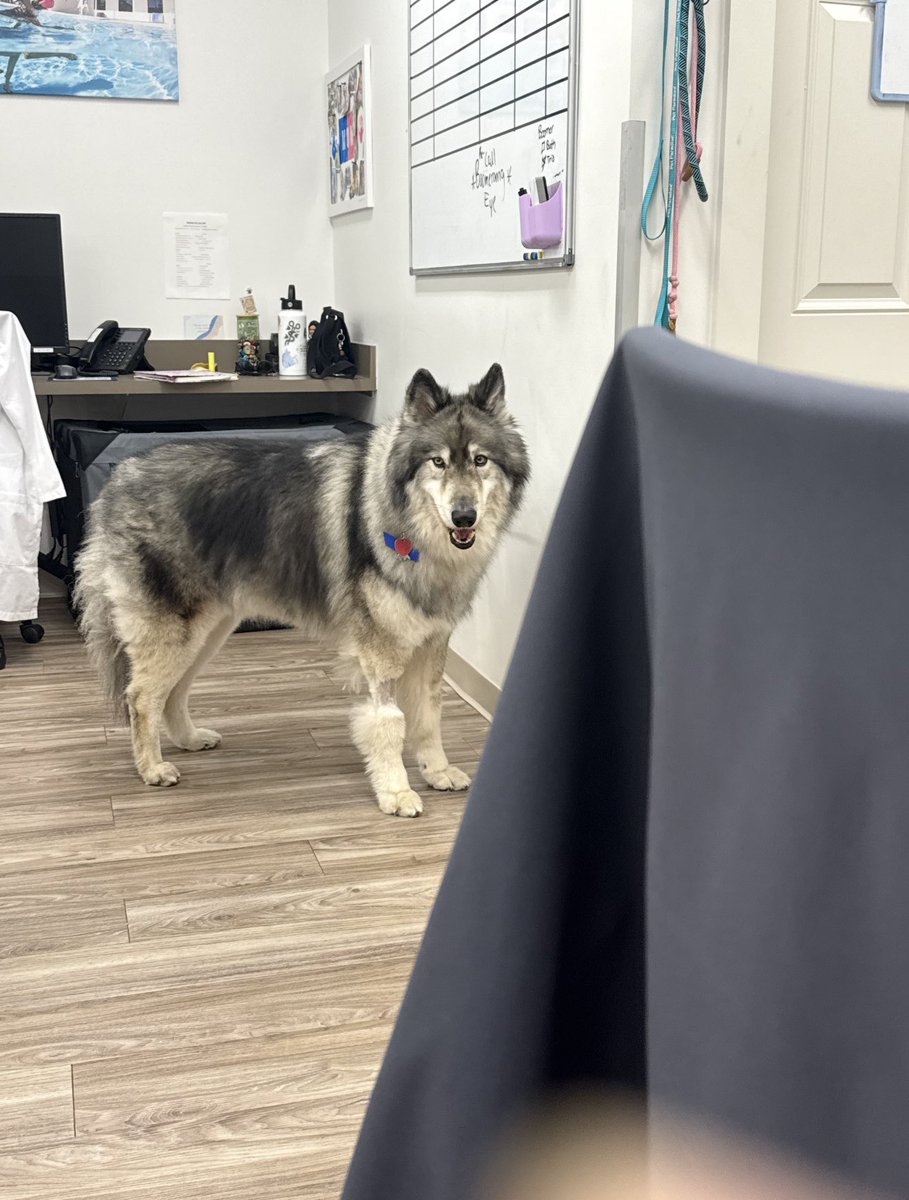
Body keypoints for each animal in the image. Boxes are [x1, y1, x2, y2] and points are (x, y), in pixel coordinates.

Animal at [74, 364, 529, 816]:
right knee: (141, 697)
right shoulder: (381, 653)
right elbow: (389, 722)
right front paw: (396, 792)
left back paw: (189, 739)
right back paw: (152, 768)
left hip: (208, 632)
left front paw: (437, 771)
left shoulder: (431, 645)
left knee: (174, 691)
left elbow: (429, 716)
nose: (464, 516)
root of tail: (117, 480)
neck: (412, 530)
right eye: (438, 462)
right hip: (176, 632)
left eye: (480, 461)